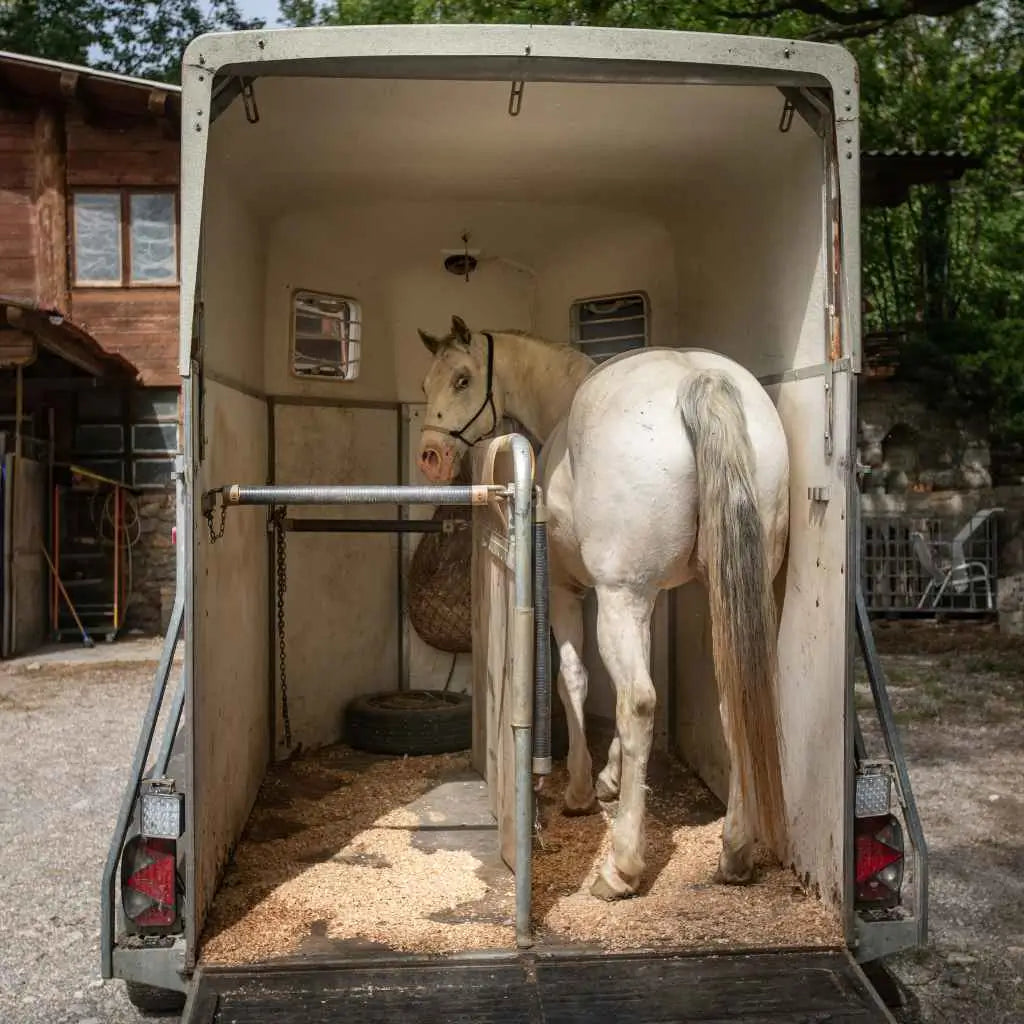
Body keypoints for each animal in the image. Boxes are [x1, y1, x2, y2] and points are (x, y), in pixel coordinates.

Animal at [416, 315, 789, 901]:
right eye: (425, 383)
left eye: (461, 379)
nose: (430, 458)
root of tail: (697, 378)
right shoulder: (648, 598)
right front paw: (612, 777)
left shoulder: (573, 594)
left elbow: (576, 680)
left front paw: (581, 790)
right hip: (715, 597)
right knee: (735, 698)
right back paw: (734, 853)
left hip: (617, 599)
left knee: (638, 701)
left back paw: (622, 868)